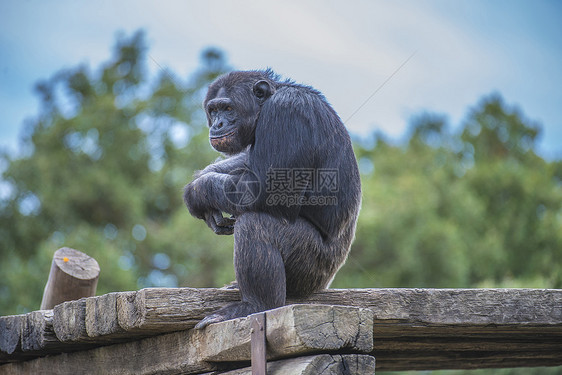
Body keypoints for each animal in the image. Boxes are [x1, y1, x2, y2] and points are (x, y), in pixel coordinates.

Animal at [184, 70, 358, 328]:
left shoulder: (286, 112)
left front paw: (197, 191)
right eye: (213, 110)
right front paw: (204, 179)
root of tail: (324, 283)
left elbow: (265, 189)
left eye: (228, 108)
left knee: (256, 224)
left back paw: (254, 305)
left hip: (311, 267)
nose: (217, 123)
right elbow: (247, 162)